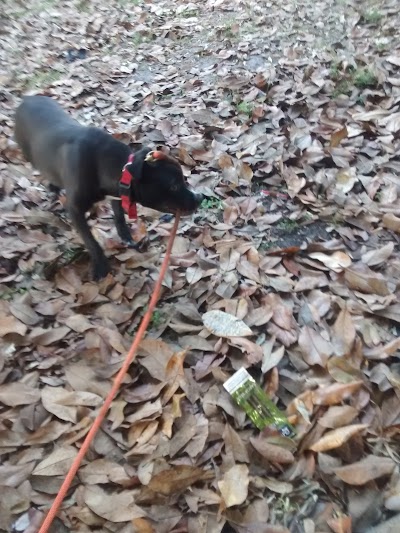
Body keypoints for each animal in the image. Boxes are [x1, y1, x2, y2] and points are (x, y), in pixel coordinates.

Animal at [14, 95, 203, 280]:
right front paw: (101, 267)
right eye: (174, 186)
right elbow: (91, 241)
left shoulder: (117, 194)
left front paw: (126, 237)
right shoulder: (75, 210)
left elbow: (119, 216)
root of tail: (27, 98)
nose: (200, 198)